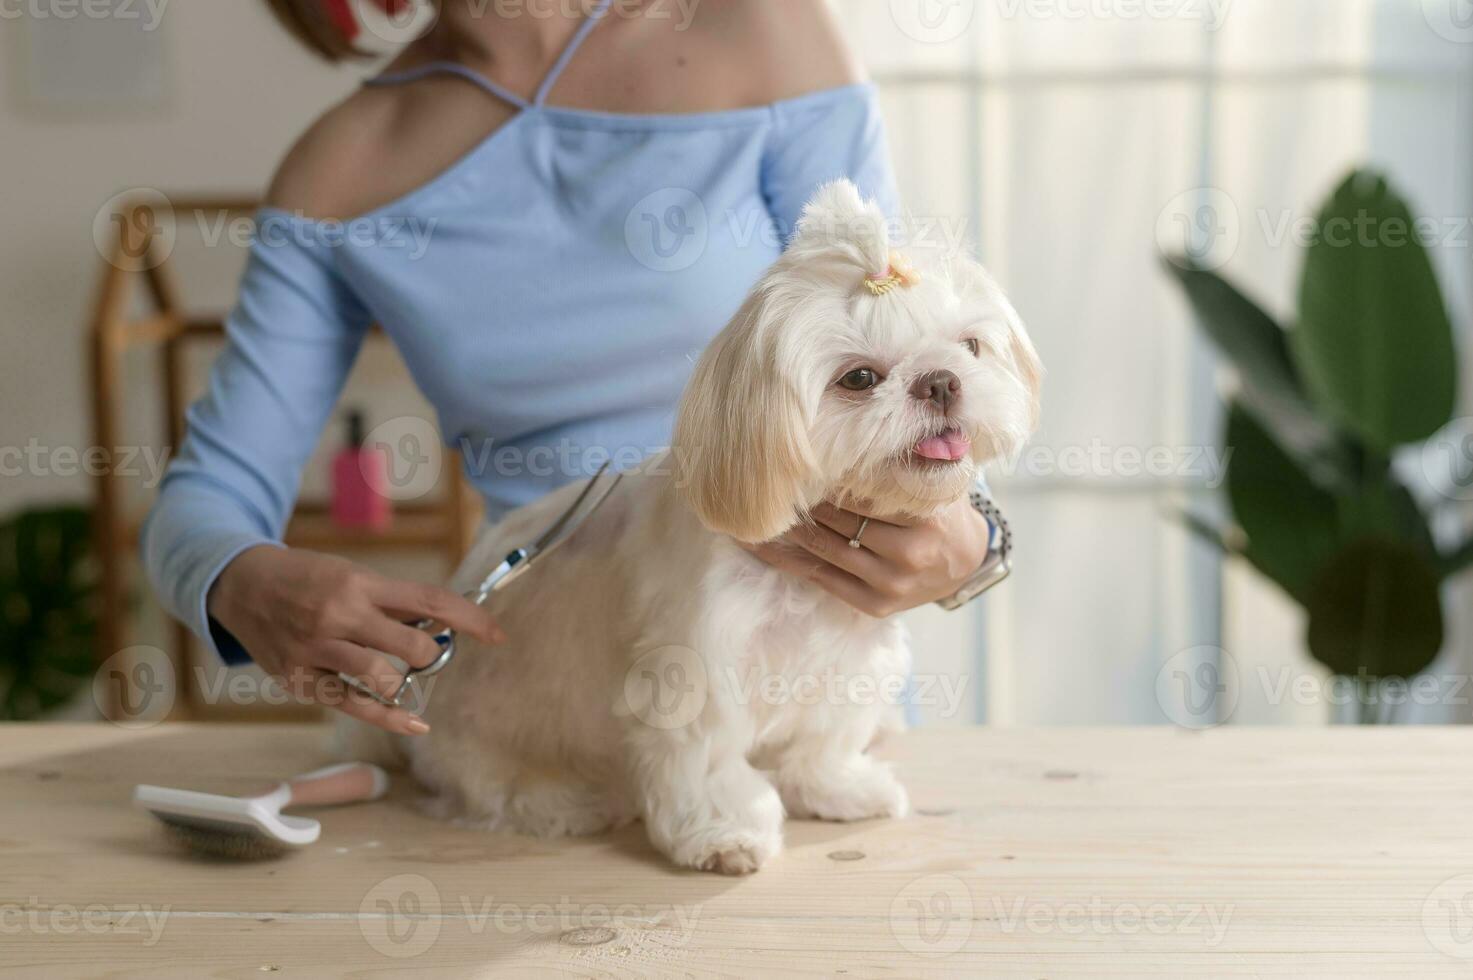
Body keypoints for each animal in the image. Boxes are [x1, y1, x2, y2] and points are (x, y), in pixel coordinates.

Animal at [354, 181, 1042, 872]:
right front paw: (723, 834)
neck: (799, 590)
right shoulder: (697, 669)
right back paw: (565, 801)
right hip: (484, 736)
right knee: (494, 789)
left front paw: (836, 788)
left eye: (970, 347)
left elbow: (821, 740)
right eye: (860, 378)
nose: (941, 382)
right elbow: (706, 762)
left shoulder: (846, 659)